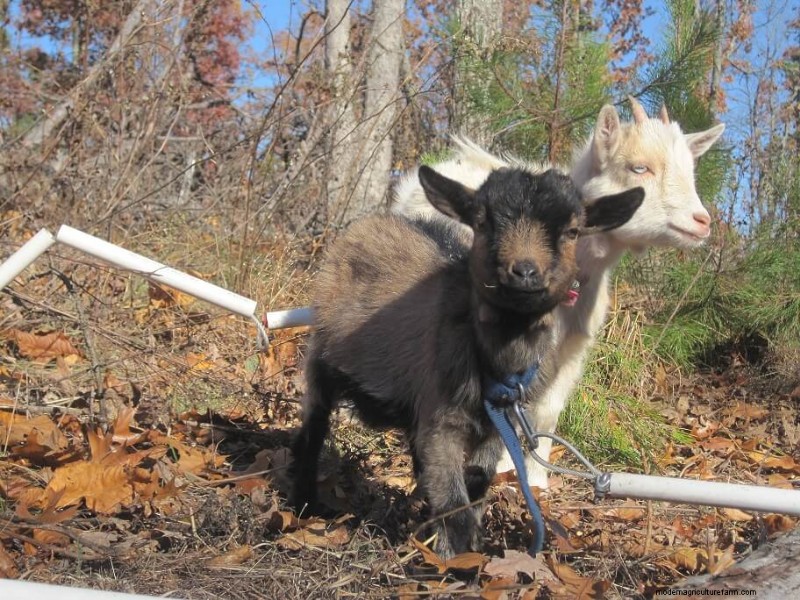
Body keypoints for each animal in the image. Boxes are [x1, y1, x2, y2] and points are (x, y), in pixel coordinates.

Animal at [291, 165, 644, 558]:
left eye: (572, 231)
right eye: (483, 222)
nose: (524, 272)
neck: (497, 369)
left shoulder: (498, 428)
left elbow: (475, 486)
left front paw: (466, 546)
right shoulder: (442, 421)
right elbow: (454, 504)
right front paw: (458, 562)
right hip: (321, 358)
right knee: (314, 426)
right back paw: (304, 503)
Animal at [392, 97, 726, 488]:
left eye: (691, 172)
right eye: (639, 167)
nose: (702, 221)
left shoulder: (573, 347)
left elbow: (547, 409)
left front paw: (535, 478)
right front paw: (504, 467)